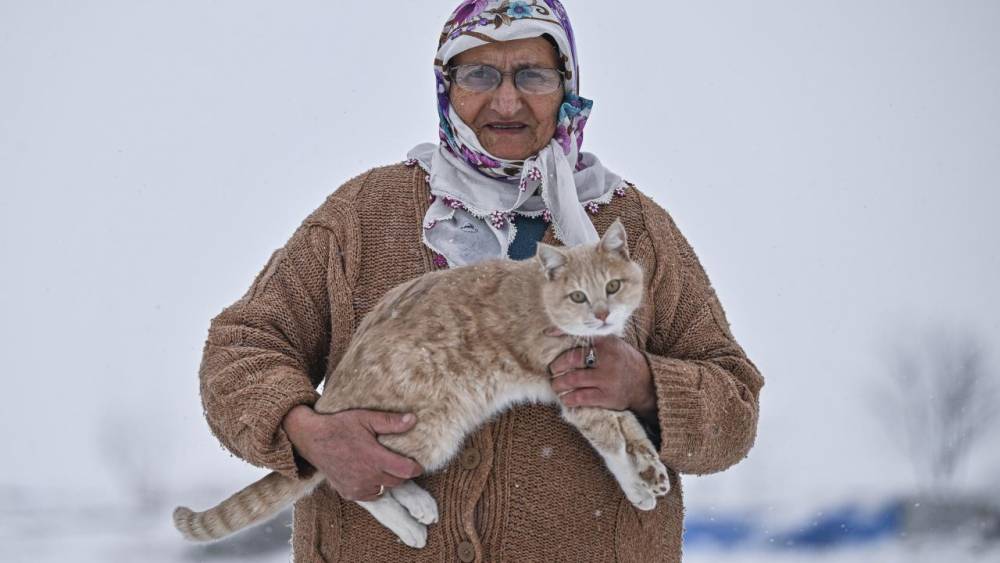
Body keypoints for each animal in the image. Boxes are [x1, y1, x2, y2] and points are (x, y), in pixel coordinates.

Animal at [173, 219, 672, 548]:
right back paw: (412, 524)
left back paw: (419, 505)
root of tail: (327, 403)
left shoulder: (601, 388)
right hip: (429, 431)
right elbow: (613, 444)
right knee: (351, 481)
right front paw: (636, 485)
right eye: (578, 296)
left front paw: (651, 470)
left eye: (612, 286)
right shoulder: (573, 394)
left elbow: (629, 426)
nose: (602, 315)